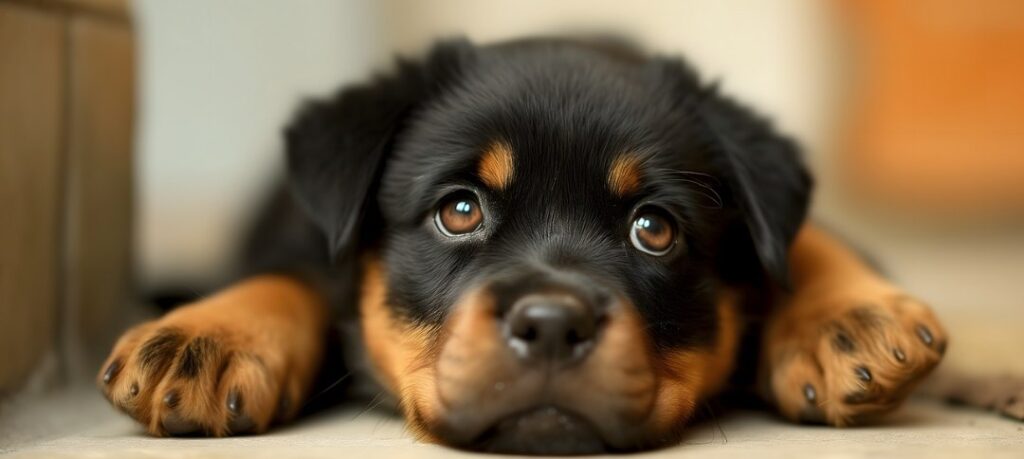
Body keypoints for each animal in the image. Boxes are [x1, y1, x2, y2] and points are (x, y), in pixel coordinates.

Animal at [99, 37, 946, 452]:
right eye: (459, 209)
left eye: (654, 228)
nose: (551, 324)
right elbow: (296, 274)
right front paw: (206, 338)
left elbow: (811, 241)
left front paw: (851, 322)